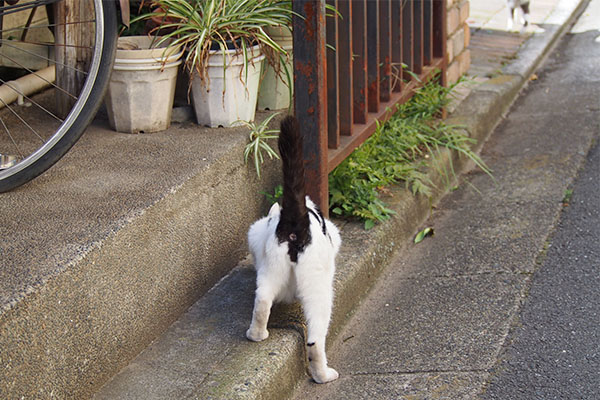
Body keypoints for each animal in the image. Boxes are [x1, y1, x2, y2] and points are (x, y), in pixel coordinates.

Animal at [246, 115, 342, 384]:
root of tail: (295, 220)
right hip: (318, 288)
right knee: (315, 340)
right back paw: (323, 375)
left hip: (270, 269)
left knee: (262, 300)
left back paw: (256, 334)